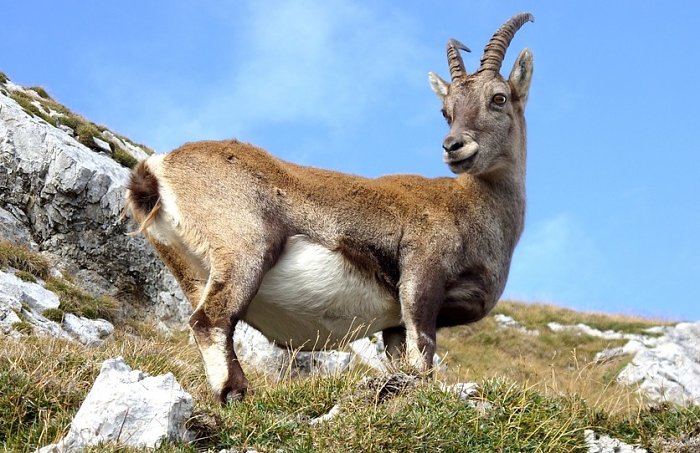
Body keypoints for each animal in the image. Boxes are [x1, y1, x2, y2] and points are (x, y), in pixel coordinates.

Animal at [126, 12, 534, 403]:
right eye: (446, 110)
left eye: (498, 98)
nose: (454, 146)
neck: (473, 208)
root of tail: (157, 169)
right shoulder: (421, 277)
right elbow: (422, 354)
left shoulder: (394, 324)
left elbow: (401, 359)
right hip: (245, 247)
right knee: (211, 320)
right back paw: (238, 394)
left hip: (190, 270)